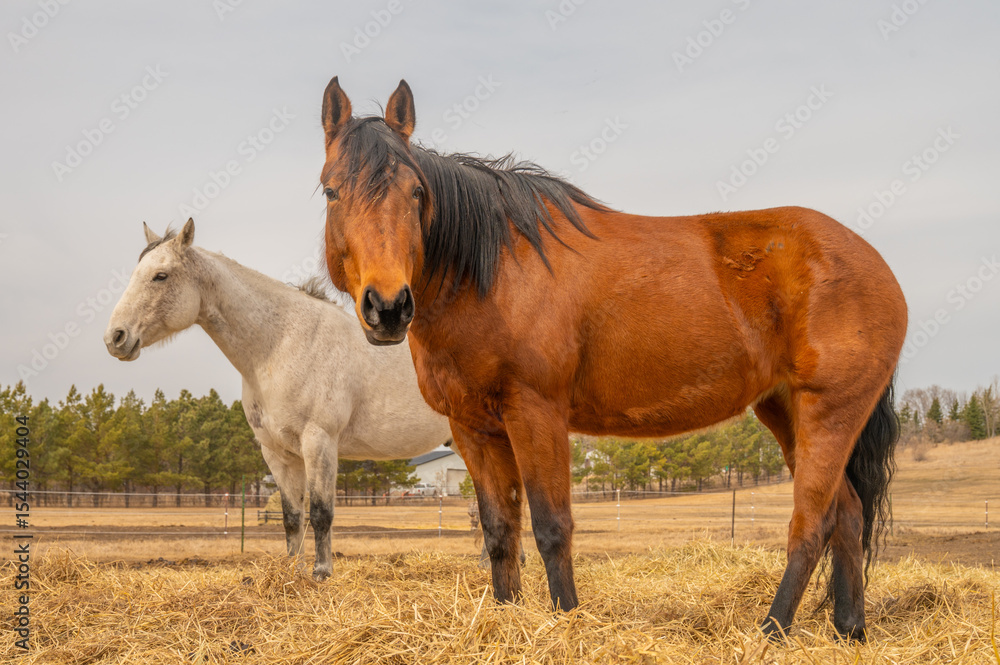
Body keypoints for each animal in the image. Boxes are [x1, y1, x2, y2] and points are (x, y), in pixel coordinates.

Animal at [103, 219, 455, 580]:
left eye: (161, 275)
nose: (115, 337)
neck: (281, 344)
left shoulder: (319, 442)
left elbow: (321, 512)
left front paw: (321, 573)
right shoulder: (278, 453)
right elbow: (292, 517)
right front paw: (291, 571)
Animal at [315, 77, 907, 641]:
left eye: (417, 192)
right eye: (331, 190)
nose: (388, 306)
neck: (494, 272)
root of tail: (876, 264)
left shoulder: (536, 414)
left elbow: (552, 527)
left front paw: (565, 621)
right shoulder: (473, 429)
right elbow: (500, 532)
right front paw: (507, 619)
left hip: (829, 414)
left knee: (812, 525)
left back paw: (772, 632)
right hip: (786, 412)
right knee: (847, 515)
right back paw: (849, 631)